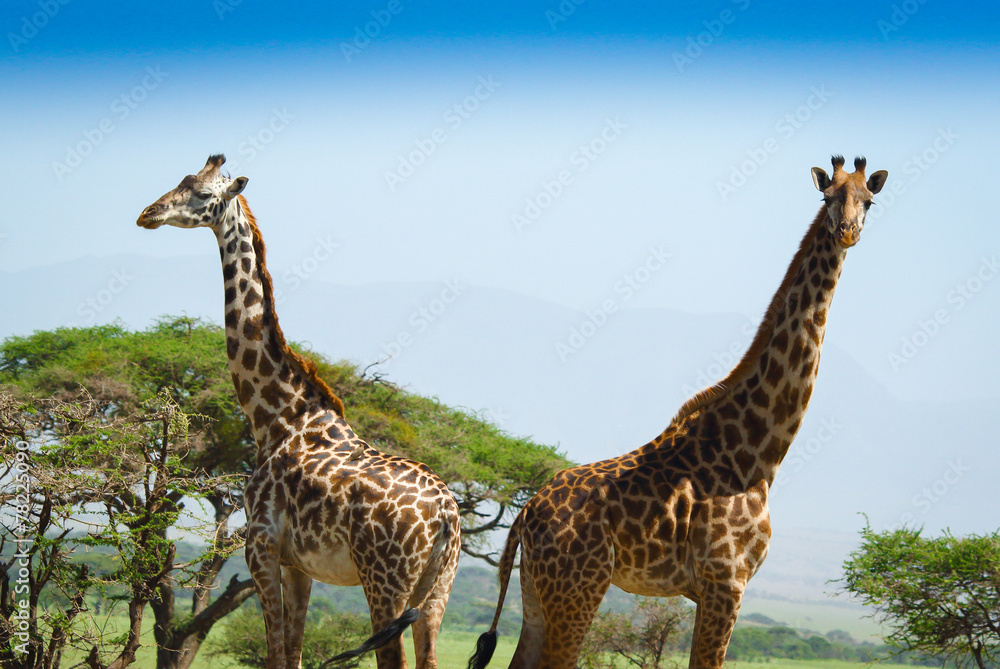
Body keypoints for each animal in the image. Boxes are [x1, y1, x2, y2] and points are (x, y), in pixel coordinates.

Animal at [137, 154, 462, 669]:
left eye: (202, 194)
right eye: (180, 180)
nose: (147, 213)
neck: (275, 418)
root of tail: (448, 515)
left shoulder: (261, 549)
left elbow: (274, 654)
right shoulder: (298, 565)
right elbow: (293, 653)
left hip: (385, 581)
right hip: (437, 588)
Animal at [467, 156, 889, 669]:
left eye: (868, 200)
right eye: (827, 197)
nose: (847, 231)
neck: (759, 455)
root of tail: (527, 513)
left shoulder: (715, 588)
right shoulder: (726, 582)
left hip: (537, 593)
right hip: (578, 589)